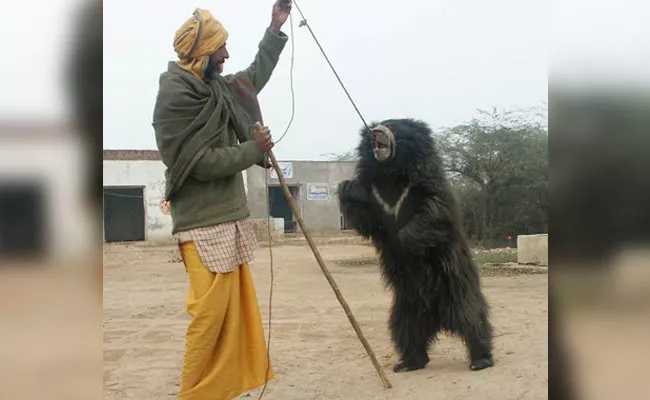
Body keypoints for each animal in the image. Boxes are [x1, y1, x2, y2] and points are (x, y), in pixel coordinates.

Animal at [336, 118, 494, 372]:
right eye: (378, 126)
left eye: (391, 127)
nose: (375, 131)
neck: (391, 172)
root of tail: (438, 317)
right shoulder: (374, 193)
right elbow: (366, 221)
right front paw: (347, 188)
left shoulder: (426, 182)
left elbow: (433, 211)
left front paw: (401, 240)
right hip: (407, 303)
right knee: (405, 328)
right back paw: (409, 362)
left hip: (455, 285)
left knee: (471, 316)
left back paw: (481, 359)